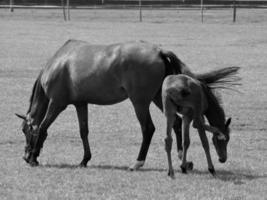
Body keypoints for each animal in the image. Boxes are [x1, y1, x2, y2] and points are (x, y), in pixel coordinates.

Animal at [15, 40, 240, 169]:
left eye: (25, 131)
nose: (24, 156)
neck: (58, 62)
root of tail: (159, 51)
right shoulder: (81, 104)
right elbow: (83, 131)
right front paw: (85, 159)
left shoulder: (57, 104)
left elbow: (43, 127)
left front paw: (34, 157)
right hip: (158, 98)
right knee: (175, 123)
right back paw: (180, 159)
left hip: (140, 101)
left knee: (148, 128)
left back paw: (138, 162)